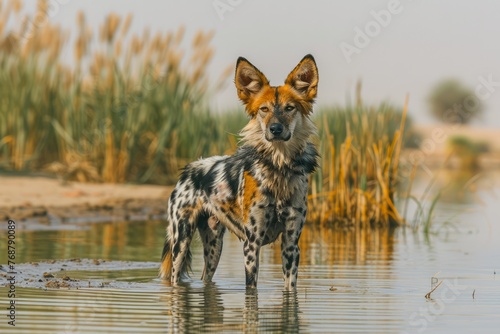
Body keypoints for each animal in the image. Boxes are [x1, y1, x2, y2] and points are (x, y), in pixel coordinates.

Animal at [158, 53, 318, 288]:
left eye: (290, 108)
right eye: (264, 109)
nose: (275, 129)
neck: (278, 168)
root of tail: (188, 170)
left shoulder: (291, 244)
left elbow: (290, 288)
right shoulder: (252, 243)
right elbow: (251, 289)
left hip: (214, 248)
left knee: (206, 278)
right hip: (181, 243)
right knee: (176, 277)